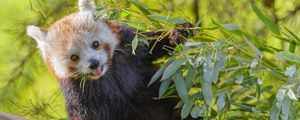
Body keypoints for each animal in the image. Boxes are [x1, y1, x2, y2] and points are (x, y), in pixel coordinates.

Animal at [27, 0, 192, 119]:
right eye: (74, 57)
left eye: (95, 44)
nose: (94, 64)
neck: (107, 73)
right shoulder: (80, 97)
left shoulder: (130, 47)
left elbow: (152, 45)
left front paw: (177, 33)